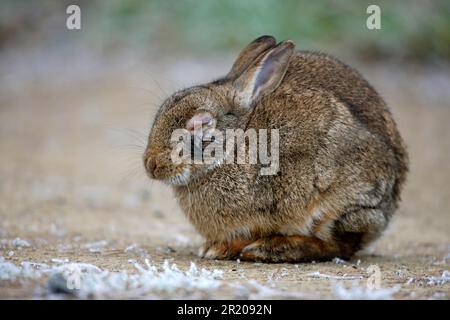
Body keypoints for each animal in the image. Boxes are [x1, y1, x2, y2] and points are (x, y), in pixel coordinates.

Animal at [143, 35, 408, 262]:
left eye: (199, 124)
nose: (151, 164)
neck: (235, 143)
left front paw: (219, 249)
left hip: (337, 203)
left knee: (339, 246)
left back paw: (271, 249)